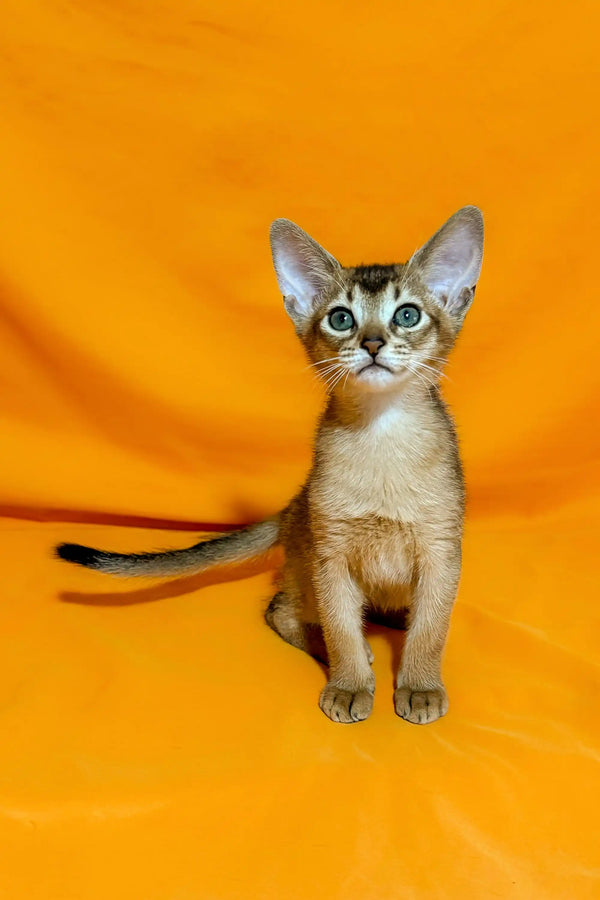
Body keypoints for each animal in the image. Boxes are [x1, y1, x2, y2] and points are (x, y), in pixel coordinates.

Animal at [58, 209, 486, 724]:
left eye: (407, 314)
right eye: (341, 318)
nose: (372, 343)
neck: (379, 436)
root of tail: (293, 505)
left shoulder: (441, 550)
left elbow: (431, 630)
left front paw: (420, 685)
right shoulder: (330, 554)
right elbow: (341, 628)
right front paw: (349, 684)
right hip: (306, 566)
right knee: (281, 610)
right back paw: (353, 653)